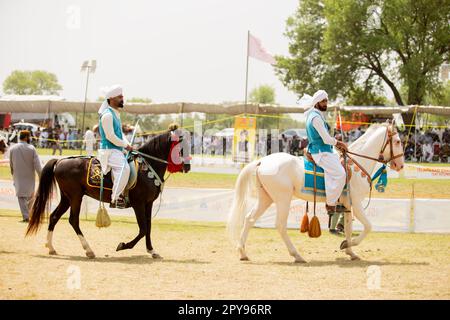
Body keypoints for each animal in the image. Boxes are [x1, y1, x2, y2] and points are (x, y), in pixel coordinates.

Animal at [25, 126, 192, 258]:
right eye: (181, 147)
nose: (188, 167)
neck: (147, 167)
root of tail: (60, 161)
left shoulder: (148, 204)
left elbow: (149, 227)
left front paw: (151, 250)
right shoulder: (138, 204)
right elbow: (143, 229)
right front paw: (123, 245)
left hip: (67, 198)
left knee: (54, 217)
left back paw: (51, 247)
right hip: (75, 197)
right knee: (73, 220)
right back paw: (89, 250)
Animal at [227, 122, 406, 262]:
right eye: (397, 141)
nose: (400, 165)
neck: (355, 166)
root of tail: (262, 161)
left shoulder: (347, 206)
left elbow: (348, 229)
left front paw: (349, 250)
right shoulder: (356, 203)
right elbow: (368, 226)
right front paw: (349, 245)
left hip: (266, 198)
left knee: (249, 219)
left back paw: (242, 252)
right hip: (283, 199)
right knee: (280, 225)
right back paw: (297, 255)